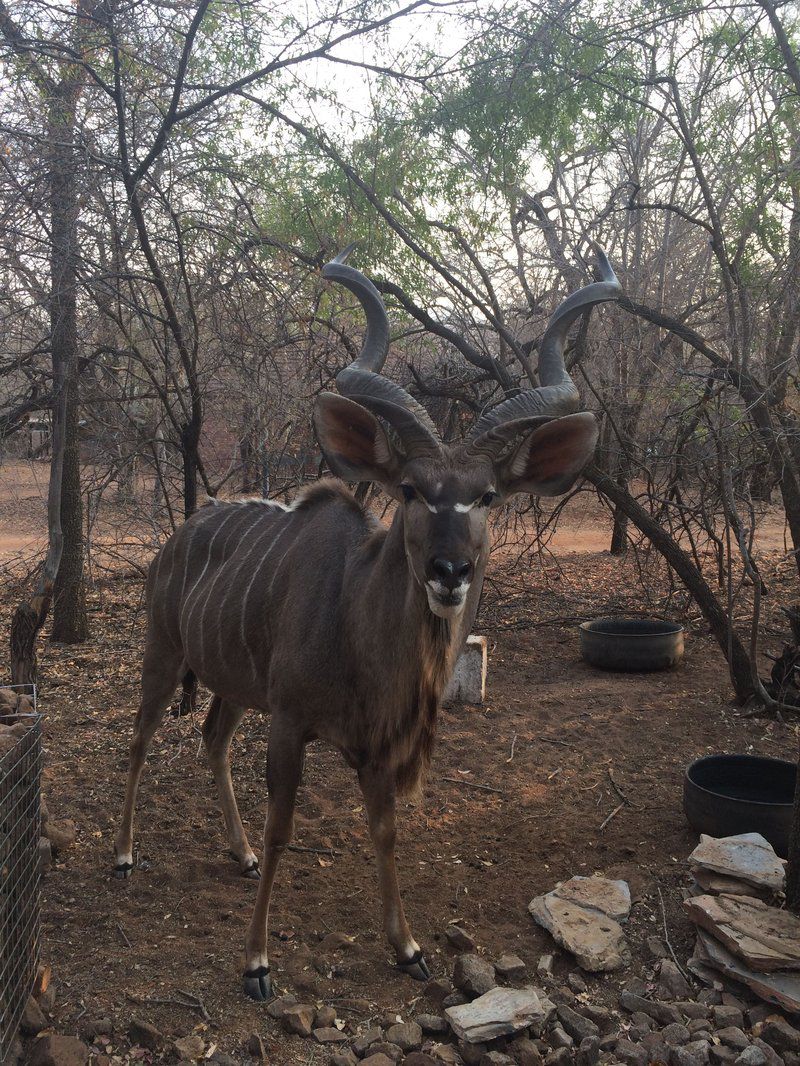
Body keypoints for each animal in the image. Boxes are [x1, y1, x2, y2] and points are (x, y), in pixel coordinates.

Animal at [115, 245, 622, 993]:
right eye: (409, 489)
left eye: (488, 495)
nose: (448, 571)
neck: (356, 627)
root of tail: (180, 534)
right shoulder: (291, 723)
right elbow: (284, 828)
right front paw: (257, 961)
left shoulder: (376, 747)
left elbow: (384, 830)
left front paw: (407, 948)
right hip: (163, 653)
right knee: (142, 738)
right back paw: (124, 855)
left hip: (236, 687)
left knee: (211, 738)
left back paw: (239, 855)